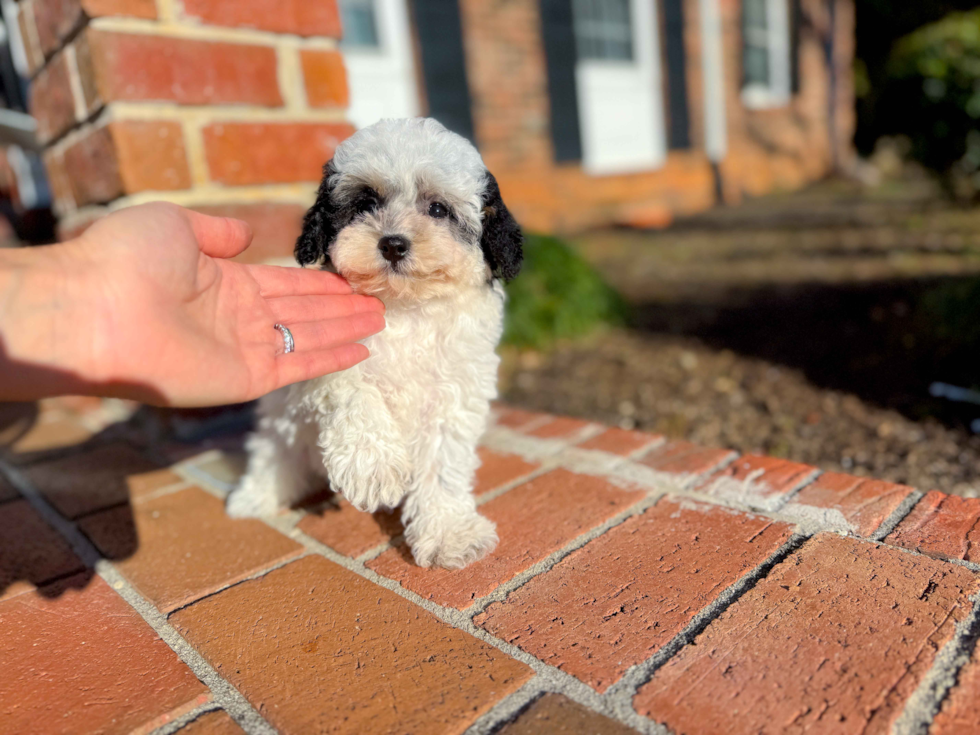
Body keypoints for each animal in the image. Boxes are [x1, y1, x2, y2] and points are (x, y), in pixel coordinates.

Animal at [227, 118, 524, 572]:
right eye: (365, 203)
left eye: (438, 210)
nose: (393, 243)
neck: (403, 305)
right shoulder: (328, 350)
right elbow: (354, 391)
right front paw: (373, 467)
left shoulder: (454, 390)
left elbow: (443, 463)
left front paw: (448, 533)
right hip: (282, 423)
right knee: (273, 451)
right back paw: (254, 497)